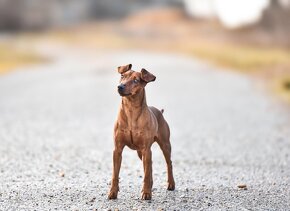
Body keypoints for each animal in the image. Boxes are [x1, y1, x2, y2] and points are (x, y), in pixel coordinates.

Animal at [107, 64, 173, 199]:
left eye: (136, 80)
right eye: (122, 76)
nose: (120, 87)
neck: (131, 111)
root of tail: (159, 112)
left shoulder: (146, 149)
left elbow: (146, 174)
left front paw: (146, 193)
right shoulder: (117, 149)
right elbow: (115, 174)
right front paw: (112, 192)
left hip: (164, 145)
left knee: (168, 163)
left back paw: (170, 184)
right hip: (140, 153)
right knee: (150, 166)